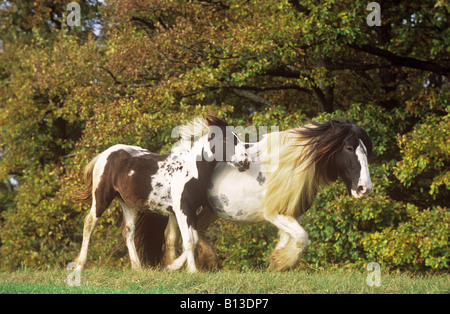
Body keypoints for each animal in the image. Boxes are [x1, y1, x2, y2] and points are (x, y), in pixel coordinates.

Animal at [72, 114, 251, 272]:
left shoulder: (190, 210)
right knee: (89, 223)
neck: (189, 170)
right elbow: (189, 240)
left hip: (129, 204)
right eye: (227, 140)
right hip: (101, 196)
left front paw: (172, 267)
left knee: (128, 230)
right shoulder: (182, 209)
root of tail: (104, 154)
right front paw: (192, 270)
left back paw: (137, 268)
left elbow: (192, 238)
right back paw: (80, 265)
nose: (246, 162)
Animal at [158, 119, 372, 272]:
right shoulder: (274, 214)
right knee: (183, 234)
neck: (292, 165)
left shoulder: (292, 214)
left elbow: (289, 239)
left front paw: (277, 262)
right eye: (349, 148)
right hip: (186, 208)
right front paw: (281, 262)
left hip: (208, 210)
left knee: (195, 231)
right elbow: (302, 237)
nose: (365, 188)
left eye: (366, 149)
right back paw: (176, 265)